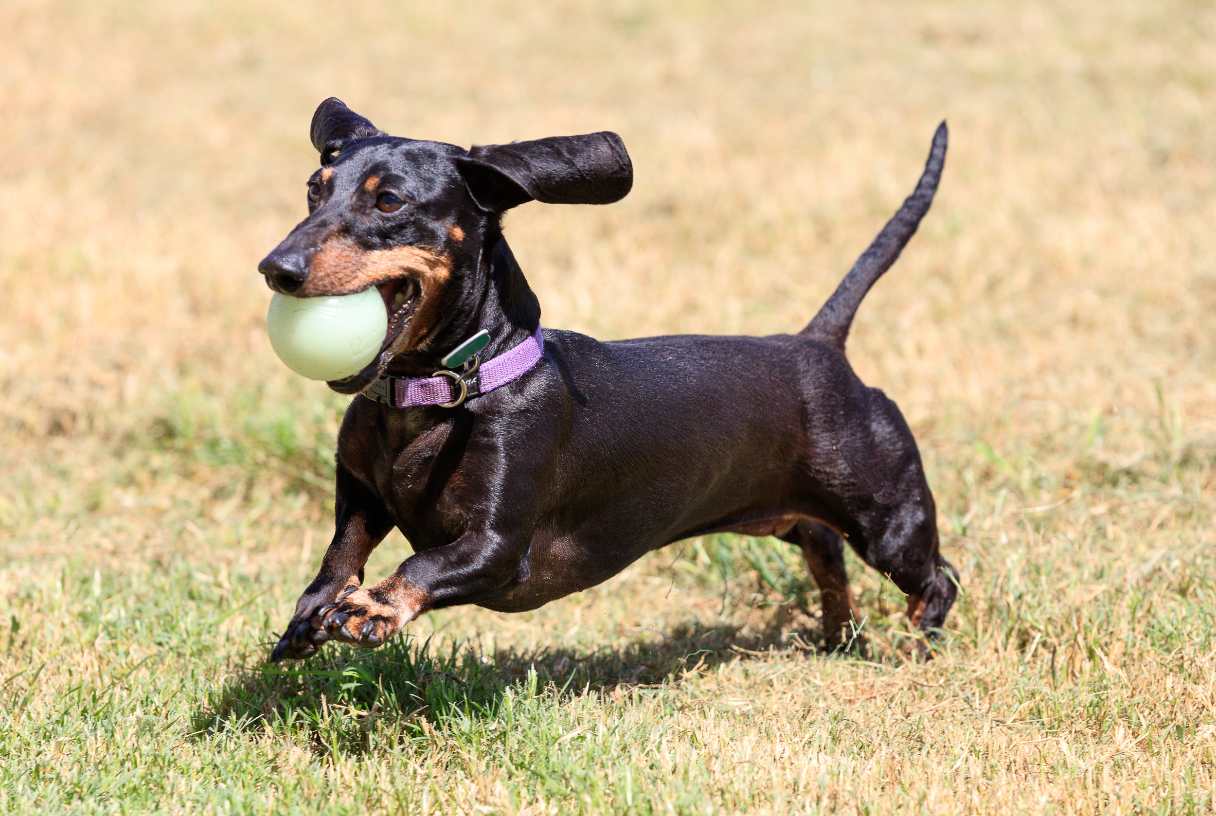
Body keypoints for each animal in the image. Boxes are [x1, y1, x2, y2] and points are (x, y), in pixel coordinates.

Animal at [261, 99, 953, 661]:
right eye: (314, 191)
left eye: (389, 201)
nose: (275, 268)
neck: (442, 392)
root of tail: (818, 343)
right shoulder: (362, 491)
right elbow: (342, 549)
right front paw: (312, 614)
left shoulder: (494, 546)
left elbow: (423, 562)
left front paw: (376, 606)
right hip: (795, 515)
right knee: (826, 554)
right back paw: (839, 637)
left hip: (889, 522)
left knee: (936, 579)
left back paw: (918, 646)